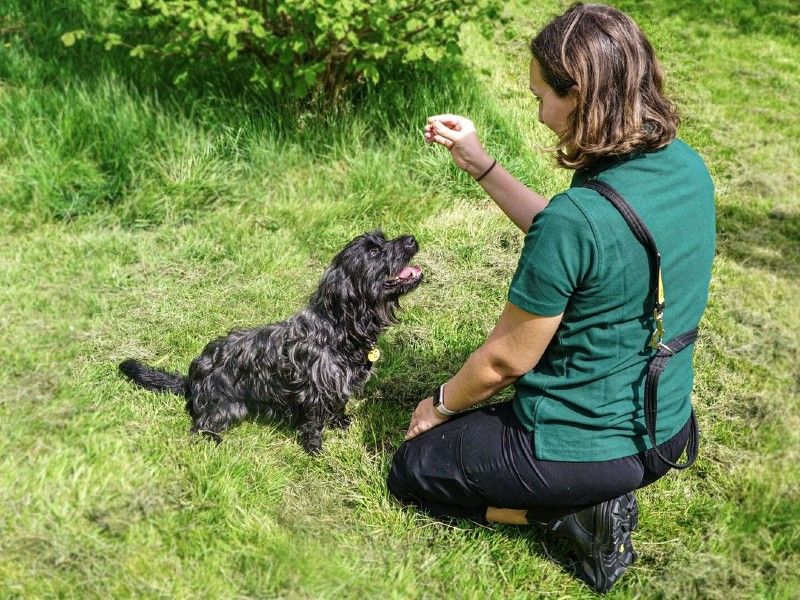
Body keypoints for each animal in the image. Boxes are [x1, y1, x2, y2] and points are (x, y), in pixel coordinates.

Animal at [119, 231, 424, 454]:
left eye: (383, 239)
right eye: (373, 252)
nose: (411, 239)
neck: (338, 330)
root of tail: (192, 377)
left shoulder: (337, 385)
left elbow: (338, 404)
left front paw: (340, 422)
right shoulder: (313, 391)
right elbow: (314, 422)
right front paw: (315, 449)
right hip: (229, 407)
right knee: (199, 427)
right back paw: (212, 440)